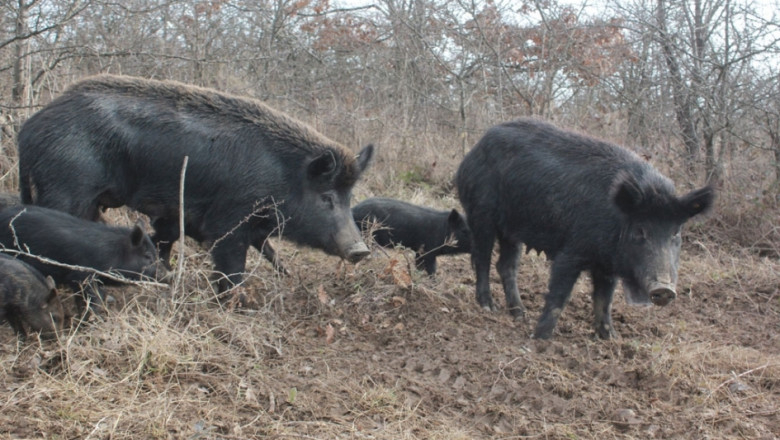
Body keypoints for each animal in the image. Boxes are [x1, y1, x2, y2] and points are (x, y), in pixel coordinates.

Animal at [17, 75, 372, 294]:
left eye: (349, 197)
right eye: (327, 197)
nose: (361, 250)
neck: (281, 176)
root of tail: (28, 129)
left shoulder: (181, 215)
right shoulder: (228, 222)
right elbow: (231, 266)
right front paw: (234, 301)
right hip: (66, 188)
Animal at [454, 118, 716, 338]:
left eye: (675, 232)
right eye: (640, 231)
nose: (665, 289)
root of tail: (473, 151)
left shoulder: (607, 267)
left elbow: (604, 300)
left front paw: (611, 338)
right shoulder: (572, 250)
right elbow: (560, 294)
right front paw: (540, 339)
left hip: (512, 229)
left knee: (506, 265)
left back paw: (520, 313)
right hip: (481, 213)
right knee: (482, 258)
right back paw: (489, 307)